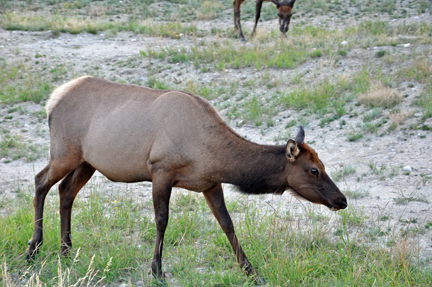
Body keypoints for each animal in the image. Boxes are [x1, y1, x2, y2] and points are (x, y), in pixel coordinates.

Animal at [26, 75, 348, 284]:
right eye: (314, 170)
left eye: (323, 164)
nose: (342, 200)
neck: (213, 153)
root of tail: (52, 100)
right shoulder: (161, 171)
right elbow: (161, 220)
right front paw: (156, 270)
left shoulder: (210, 183)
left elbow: (228, 224)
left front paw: (250, 270)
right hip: (64, 152)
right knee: (40, 182)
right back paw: (34, 248)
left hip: (86, 162)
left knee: (66, 192)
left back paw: (66, 249)